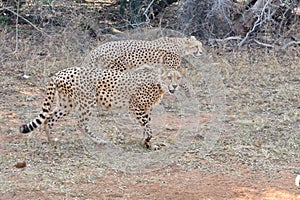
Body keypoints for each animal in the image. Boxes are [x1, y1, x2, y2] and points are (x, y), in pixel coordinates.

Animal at [19, 65, 183, 148]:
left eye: (178, 77)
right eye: (169, 77)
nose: (175, 86)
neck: (159, 85)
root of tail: (60, 72)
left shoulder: (146, 110)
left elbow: (146, 127)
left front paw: (147, 143)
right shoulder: (136, 107)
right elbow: (148, 129)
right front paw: (146, 142)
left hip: (66, 104)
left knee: (49, 119)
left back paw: (51, 140)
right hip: (87, 102)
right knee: (80, 123)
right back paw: (98, 141)